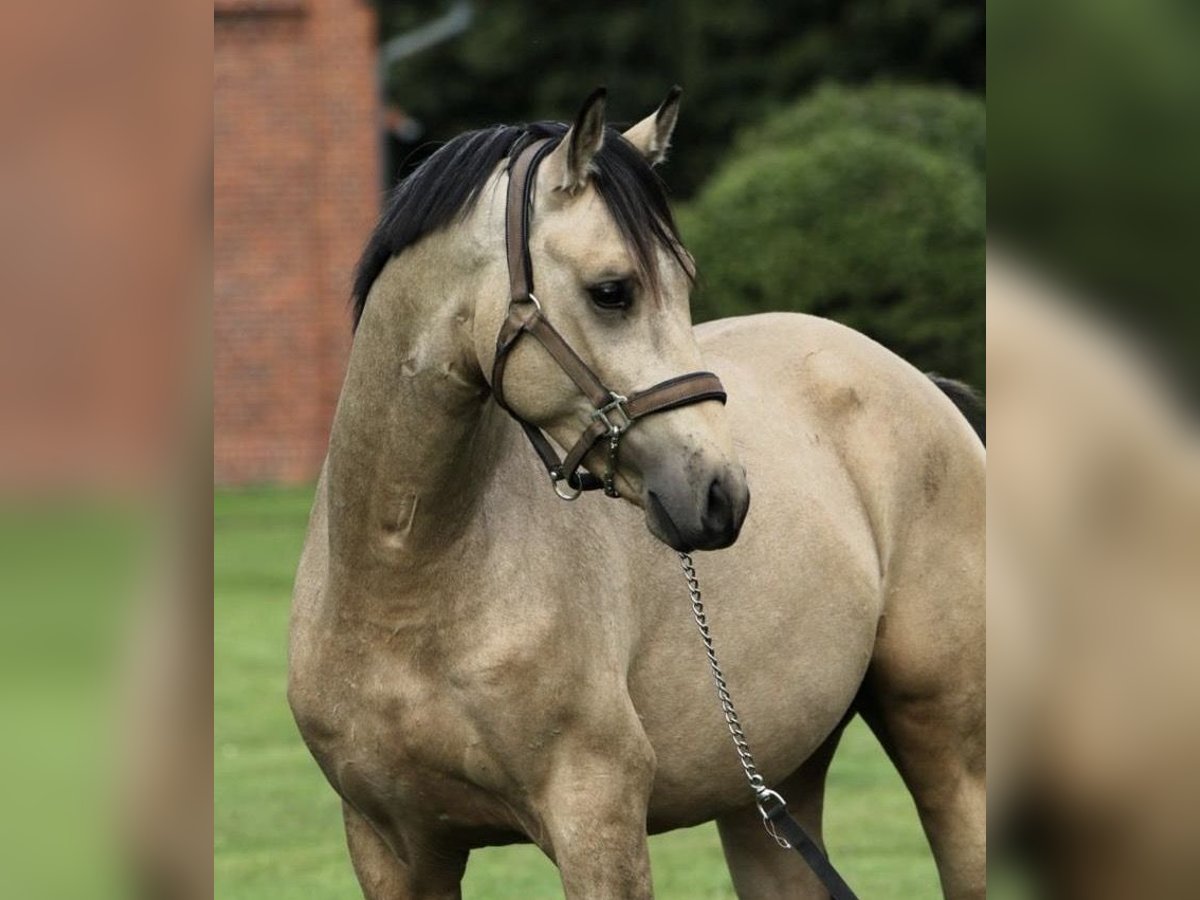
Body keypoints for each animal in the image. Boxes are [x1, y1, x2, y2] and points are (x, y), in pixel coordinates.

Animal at [288, 87, 985, 899]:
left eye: (685, 282)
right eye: (612, 291)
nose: (719, 495)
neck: (405, 589)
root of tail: (915, 381)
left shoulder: (597, 821)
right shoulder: (392, 850)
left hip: (950, 753)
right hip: (771, 790)